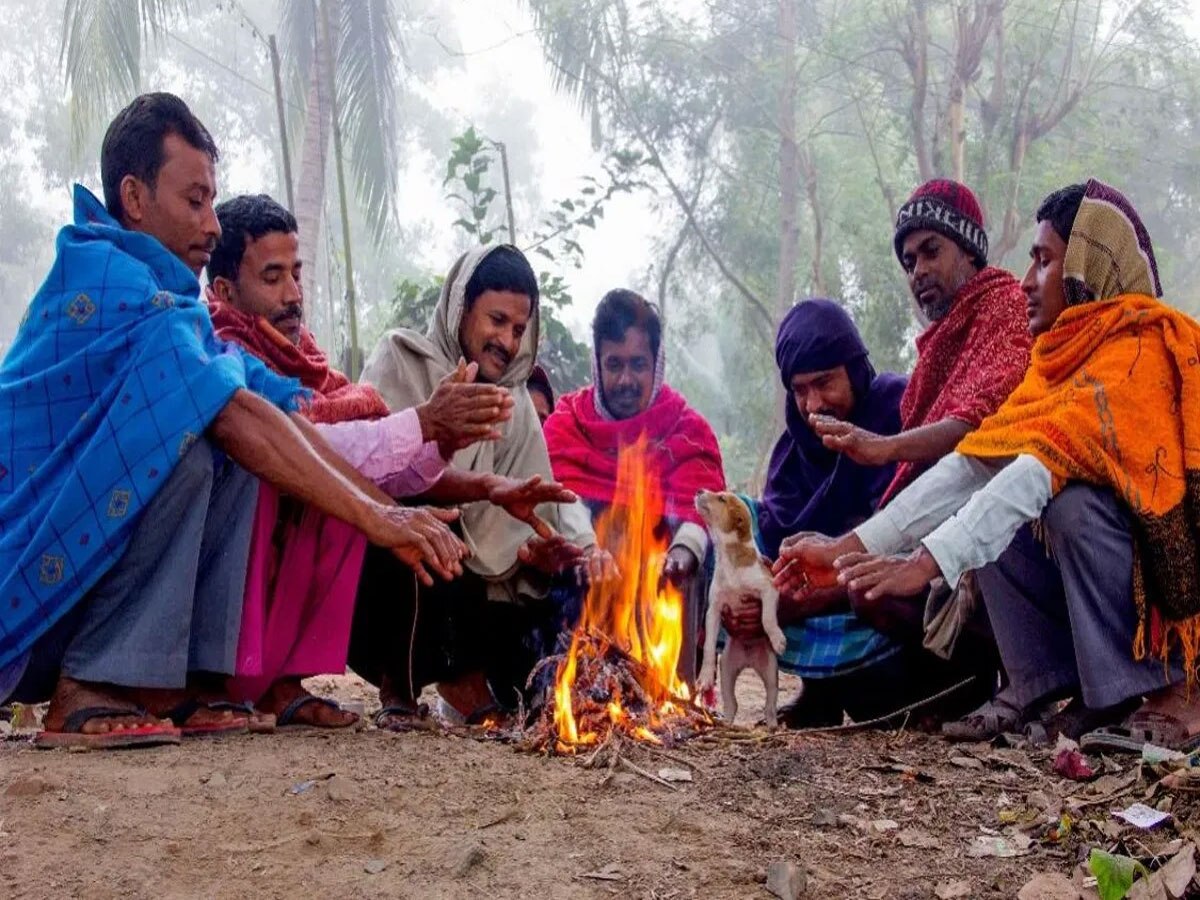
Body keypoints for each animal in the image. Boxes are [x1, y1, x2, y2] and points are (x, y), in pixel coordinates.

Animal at [696, 489, 787, 729]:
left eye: (721, 499)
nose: (699, 491)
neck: (729, 558)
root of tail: (749, 660)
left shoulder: (770, 589)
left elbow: (767, 618)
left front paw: (778, 638)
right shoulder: (714, 610)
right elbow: (709, 646)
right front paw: (705, 677)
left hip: (771, 673)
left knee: (770, 706)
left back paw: (772, 727)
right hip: (727, 670)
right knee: (732, 704)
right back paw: (726, 724)